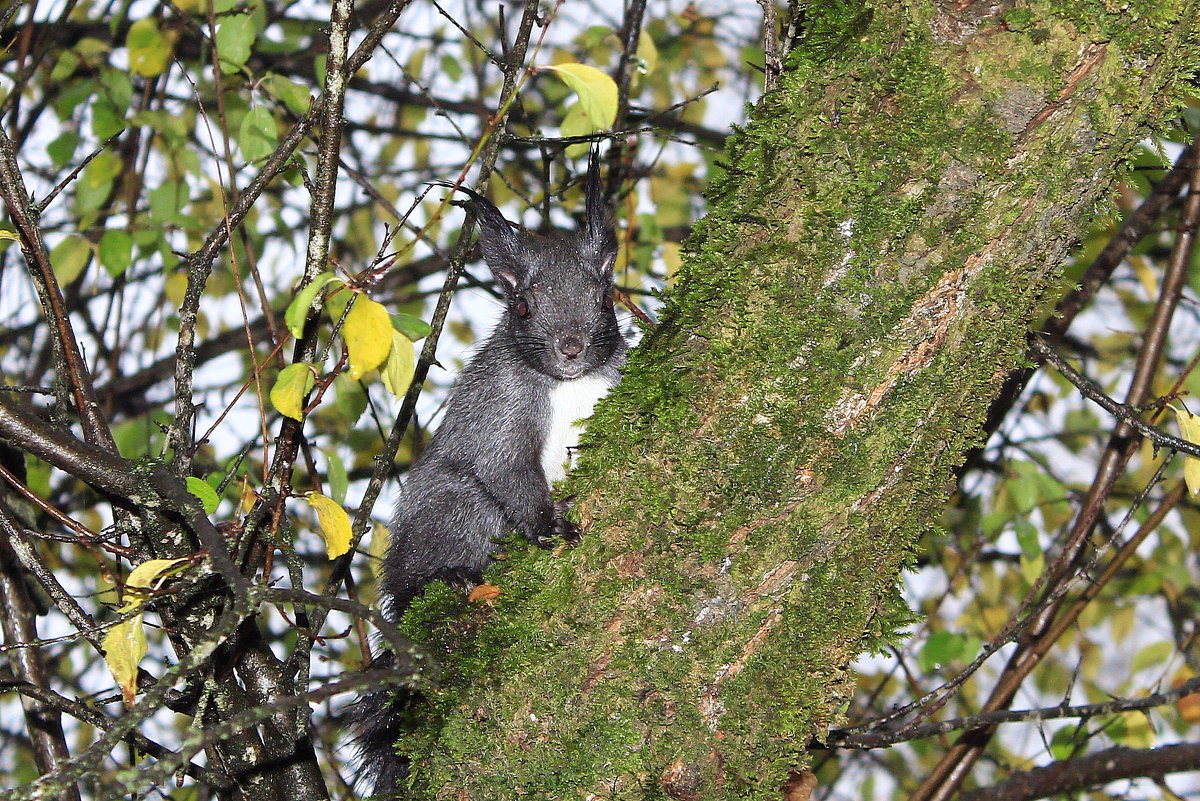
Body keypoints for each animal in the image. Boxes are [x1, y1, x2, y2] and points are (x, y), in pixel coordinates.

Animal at [350, 149, 624, 796]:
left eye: (605, 299)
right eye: (522, 305)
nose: (571, 346)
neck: (567, 386)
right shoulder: (501, 411)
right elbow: (508, 469)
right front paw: (550, 526)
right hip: (455, 507)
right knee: (427, 568)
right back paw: (450, 576)